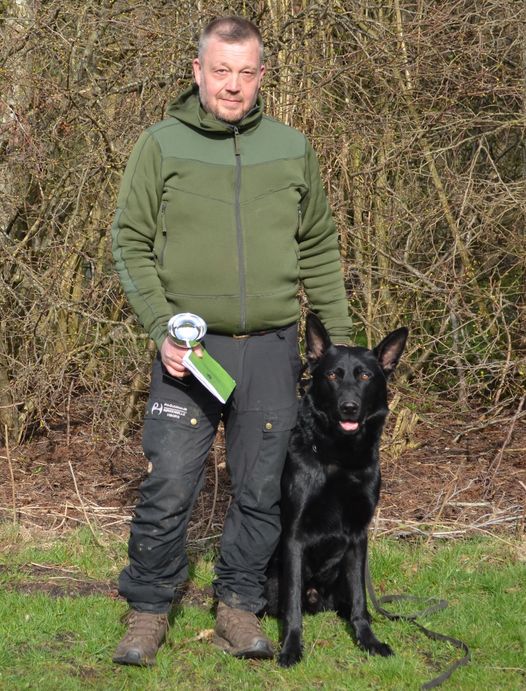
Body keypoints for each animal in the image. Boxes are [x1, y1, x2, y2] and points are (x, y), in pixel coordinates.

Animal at [266, 314, 410, 672]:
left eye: (365, 376)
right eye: (332, 375)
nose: (349, 407)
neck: (339, 459)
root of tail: (318, 597)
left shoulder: (358, 536)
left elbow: (360, 600)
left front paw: (368, 640)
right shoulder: (294, 537)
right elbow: (292, 607)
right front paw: (291, 648)